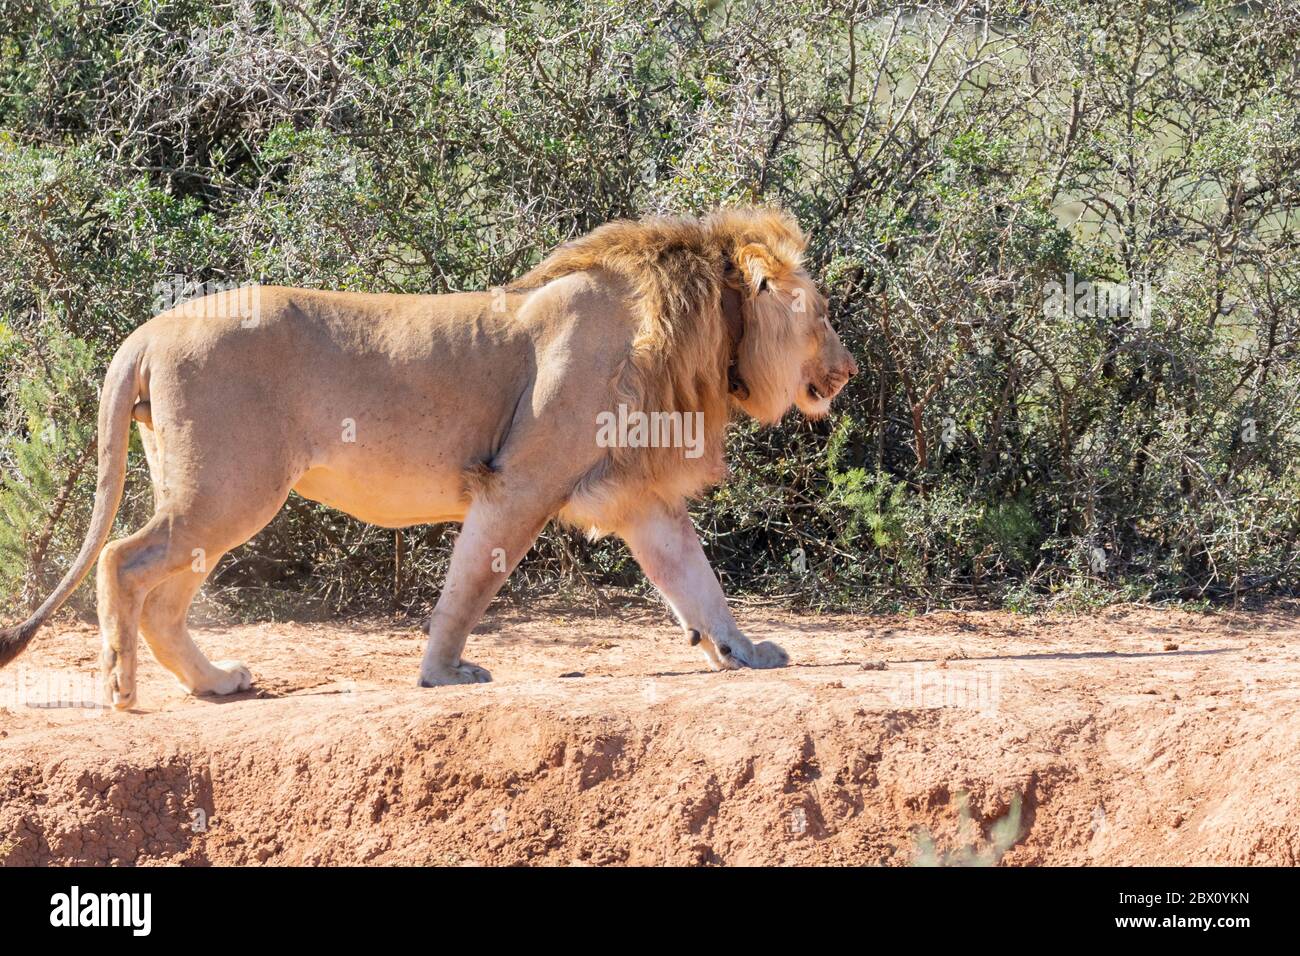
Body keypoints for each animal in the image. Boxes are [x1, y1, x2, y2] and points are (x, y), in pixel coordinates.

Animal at [0, 205, 857, 707]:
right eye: (821, 314)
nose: (848, 371)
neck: (695, 328)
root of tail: (145, 332)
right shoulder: (521, 481)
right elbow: (472, 583)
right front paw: (443, 672)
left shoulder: (638, 495)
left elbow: (696, 580)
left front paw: (742, 651)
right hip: (229, 489)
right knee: (121, 560)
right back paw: (121, 688)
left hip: (217, 495)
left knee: (165, 598)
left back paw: (216, 683)